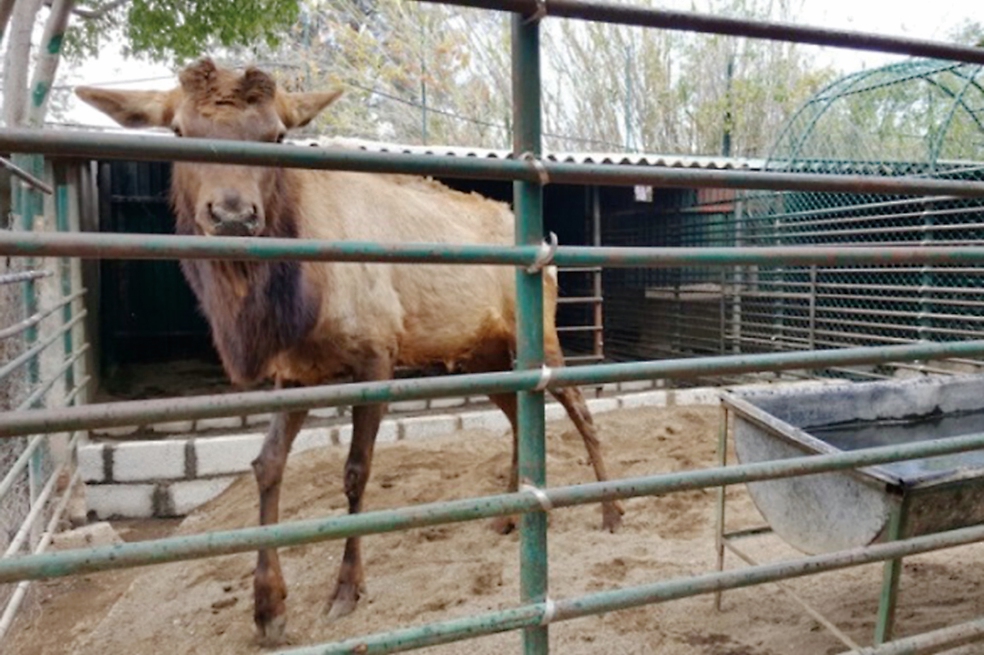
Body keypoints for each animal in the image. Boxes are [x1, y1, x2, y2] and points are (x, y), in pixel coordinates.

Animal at [80, 61, 628, 644]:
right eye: (180, 131)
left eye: (276, 136)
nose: (232, 215)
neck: (297, 297)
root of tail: (545, 249)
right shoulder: (295, 371)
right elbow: (266, 464)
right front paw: (268, 606)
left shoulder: (375, 353)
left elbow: (355, 471)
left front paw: (346, 588)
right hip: (483, 355)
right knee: (520, 419)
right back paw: (508, 516)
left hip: (539, 337)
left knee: (581, 411)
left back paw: (611, 509)